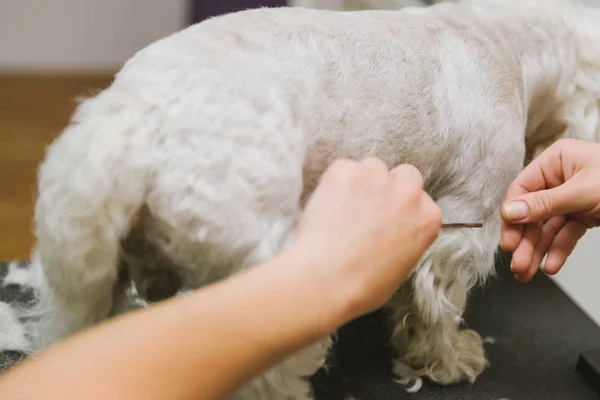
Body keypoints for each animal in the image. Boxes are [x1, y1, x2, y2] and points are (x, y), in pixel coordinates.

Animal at [8, 0, 600, 396]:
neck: (504, 35)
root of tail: (129, 123)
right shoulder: (464, 224)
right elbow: (436, 305)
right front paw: (446, 358)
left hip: (84, 284)